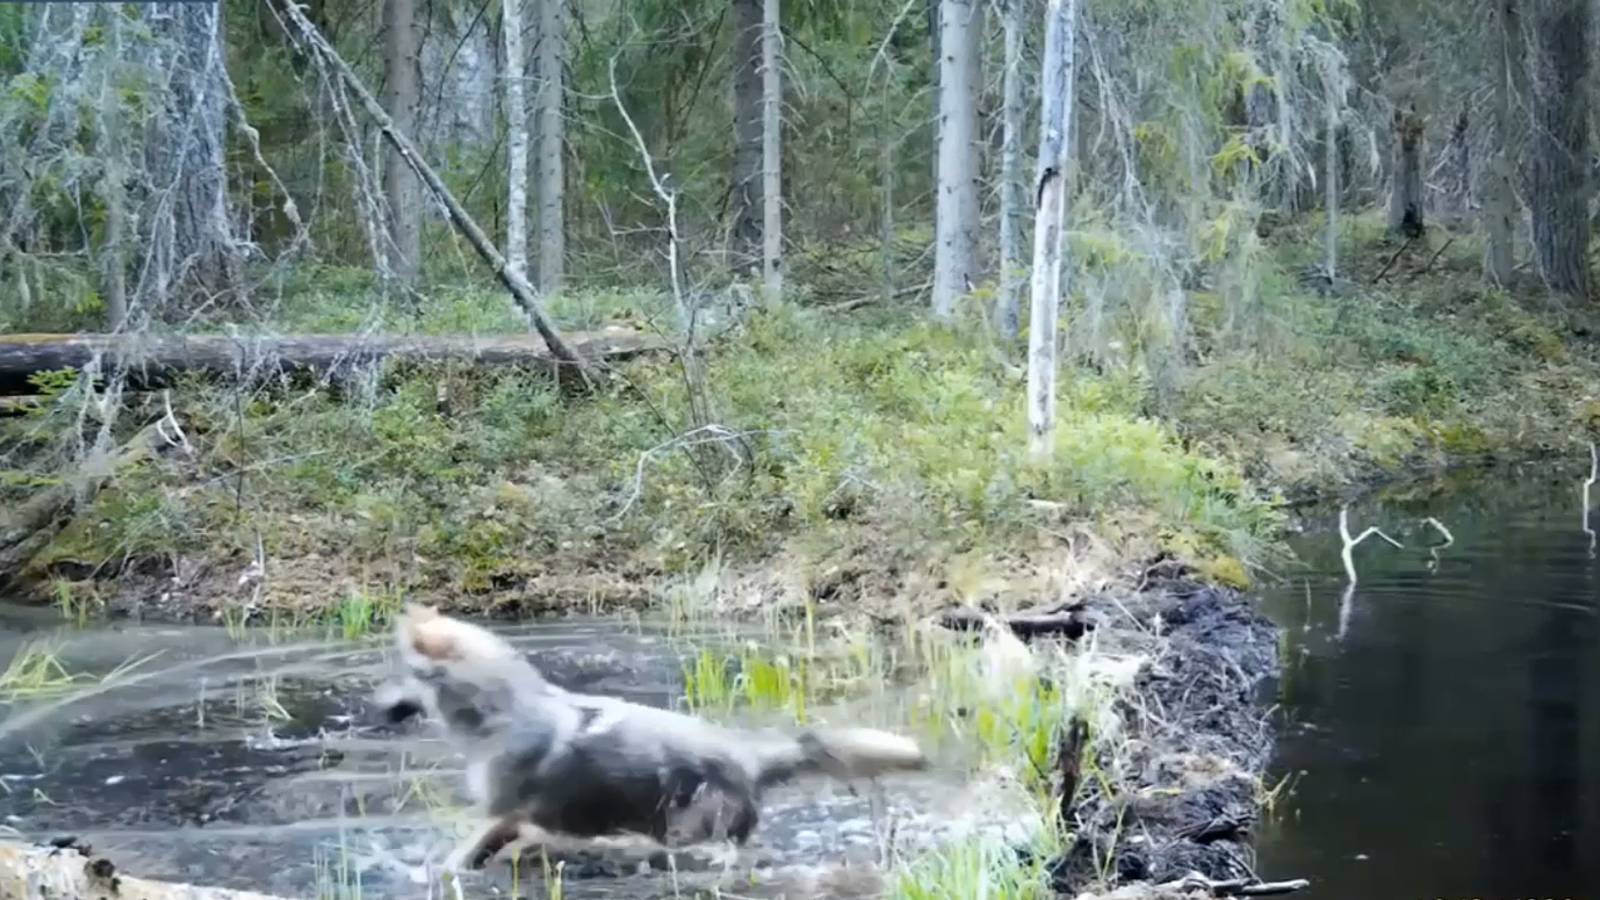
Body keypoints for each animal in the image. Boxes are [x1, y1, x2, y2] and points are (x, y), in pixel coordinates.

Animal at [371, 602, 928, 871]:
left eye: (394, 676)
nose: (371, 707)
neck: (499, 712)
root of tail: (749, 757)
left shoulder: (501, 815)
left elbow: (454, 859)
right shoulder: (513, 823)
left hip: (688, 830)